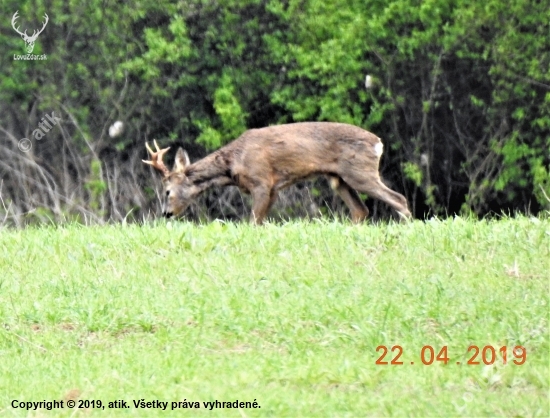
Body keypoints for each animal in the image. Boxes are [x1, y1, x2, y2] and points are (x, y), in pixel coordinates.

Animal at [144, 122, 412, 224]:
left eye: (167, 191)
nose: (166, 213)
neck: (233, 163)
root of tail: (378, 143)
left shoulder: (261, 181)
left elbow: (253, 221)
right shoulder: (273, 189)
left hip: (361, 173)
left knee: (399, 199)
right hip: (339, 179)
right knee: (360, 210)